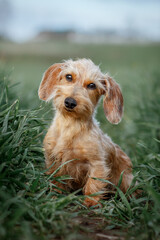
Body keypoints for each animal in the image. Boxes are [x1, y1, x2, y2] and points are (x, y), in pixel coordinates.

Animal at [38, 58, 133, 206]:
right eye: (69, 77)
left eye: (92, 85)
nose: (70, 102)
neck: (71, 126)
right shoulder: (53, 159)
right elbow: (56, 179)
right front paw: (55, 195)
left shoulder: (97, 164)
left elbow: (93, 185)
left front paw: (90, 203)